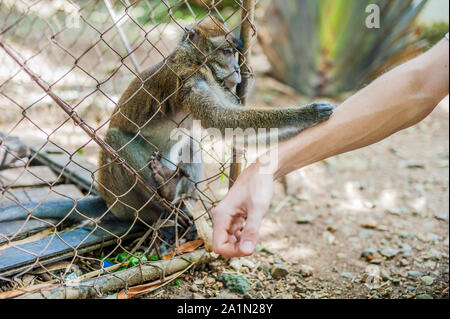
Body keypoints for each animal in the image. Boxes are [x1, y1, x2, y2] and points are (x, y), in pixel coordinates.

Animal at [0, 15, 334, 240]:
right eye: (226, 52)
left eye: (235, 53)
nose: (238, 71)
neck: (196, 60)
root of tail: (107, 201)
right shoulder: (189, 80)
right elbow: (224, 121)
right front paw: (308, 112)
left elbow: (231, 130)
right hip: (122, 195)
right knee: (116, 139)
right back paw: (162, 202)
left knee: (190, 141)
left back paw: (178, 197)